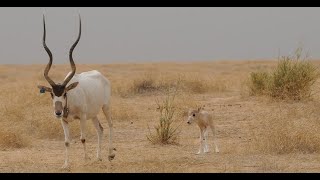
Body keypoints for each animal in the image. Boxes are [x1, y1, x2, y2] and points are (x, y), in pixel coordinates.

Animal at [37, 14, 115, 169]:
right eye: (52, 94)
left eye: (65, 93)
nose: (58, 112)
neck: (70, 102)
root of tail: (101, 76)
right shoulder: (64, 121)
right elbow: (67, 141)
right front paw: (66, 165)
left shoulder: (82, 118)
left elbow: (83, 138)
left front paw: (85, 160)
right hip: (93, 114)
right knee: (100, 129)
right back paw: (98, 157)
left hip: (105, 107)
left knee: (109, 125)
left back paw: (110, 155)